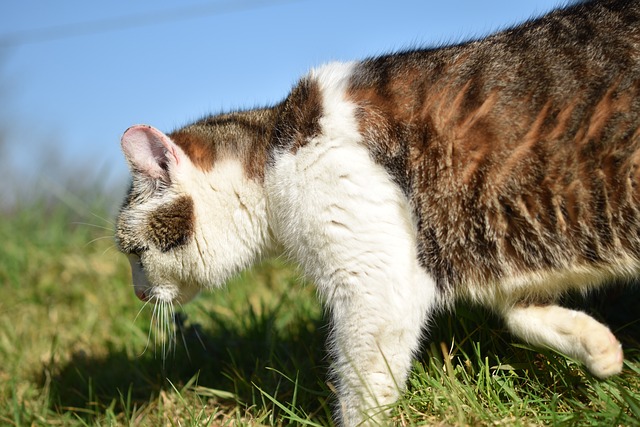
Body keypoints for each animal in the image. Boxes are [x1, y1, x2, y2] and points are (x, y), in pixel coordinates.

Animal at [116, 0, 640, 424]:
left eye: (136, 253)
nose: (139, 293)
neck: (273, 153)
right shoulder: (481, 244)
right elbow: (520, 312)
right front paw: (598, 348)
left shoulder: (375, 282)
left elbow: (363, 382)